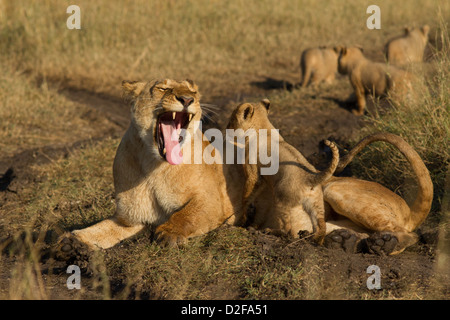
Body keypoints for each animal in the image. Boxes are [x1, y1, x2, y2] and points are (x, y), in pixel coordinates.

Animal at [227, 99, 340, 244]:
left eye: (231, 120)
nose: (226, 128)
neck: (263, 127)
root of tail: (310, 177)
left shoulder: (252, 170)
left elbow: (247, 193)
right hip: (316, 204)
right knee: (321, 226)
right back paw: (313, 240)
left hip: (282, 199)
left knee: (287, 229)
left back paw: (271, 231)